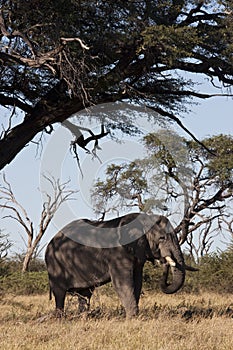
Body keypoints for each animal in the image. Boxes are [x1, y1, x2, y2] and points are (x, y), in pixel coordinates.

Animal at [45, 212, 195, 318]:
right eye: (162, 238)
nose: (163, 260)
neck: (143, 220)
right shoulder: (117, 253)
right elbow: (123, 282)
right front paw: (133, 318)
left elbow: (137, 282)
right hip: (54, 264)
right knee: (60, 294)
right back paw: (61, 318)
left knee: (85, 294)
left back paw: (83, 317)